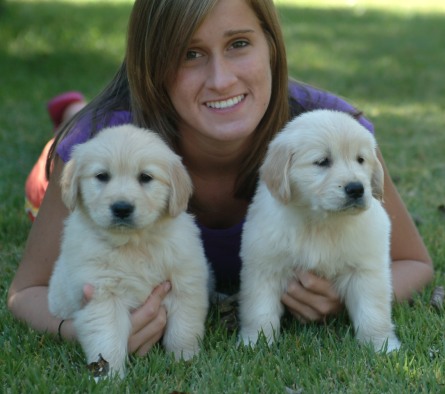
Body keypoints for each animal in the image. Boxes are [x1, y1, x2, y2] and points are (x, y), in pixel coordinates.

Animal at [48, 124, 210, 378]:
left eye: (145, 177)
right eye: (102, 176)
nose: (122, 208)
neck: (134, 244)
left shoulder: (186, 283)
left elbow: (183, 328)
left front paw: (184, 362)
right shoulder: (102, 294)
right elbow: (107, 338)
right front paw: (109, 376)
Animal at [238, 109, 400, 352]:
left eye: (360, 160)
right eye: (322, 162)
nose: (356, 188)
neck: (320, 222)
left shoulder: (366, 270)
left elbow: (373, 311)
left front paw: (381, 345)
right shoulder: (264, 267)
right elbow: (259, 310)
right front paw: (255, 343)